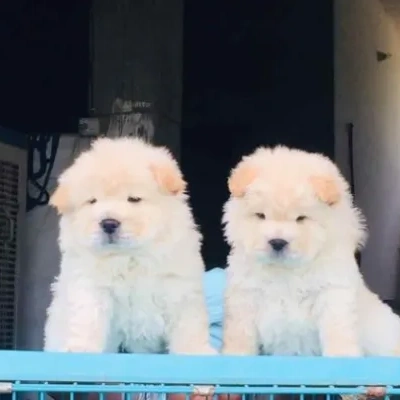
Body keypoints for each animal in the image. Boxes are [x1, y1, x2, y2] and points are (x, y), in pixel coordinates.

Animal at [44, 138, 216, 356]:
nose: (109, 223)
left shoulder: (178, 286)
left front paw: (196, 351)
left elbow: (189, 325)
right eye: (92, 201)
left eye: (133, 199)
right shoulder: (90, 287)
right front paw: (80, 349)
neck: (129, 257)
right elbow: (87, 320)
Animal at [220, 146, 400, 356]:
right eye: (261, 215)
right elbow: (240, 336)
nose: (277, 242)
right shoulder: (244, 297)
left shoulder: (333, 294)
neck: (285, 272)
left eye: (301, 218)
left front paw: (342, 356)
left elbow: (338, 332)